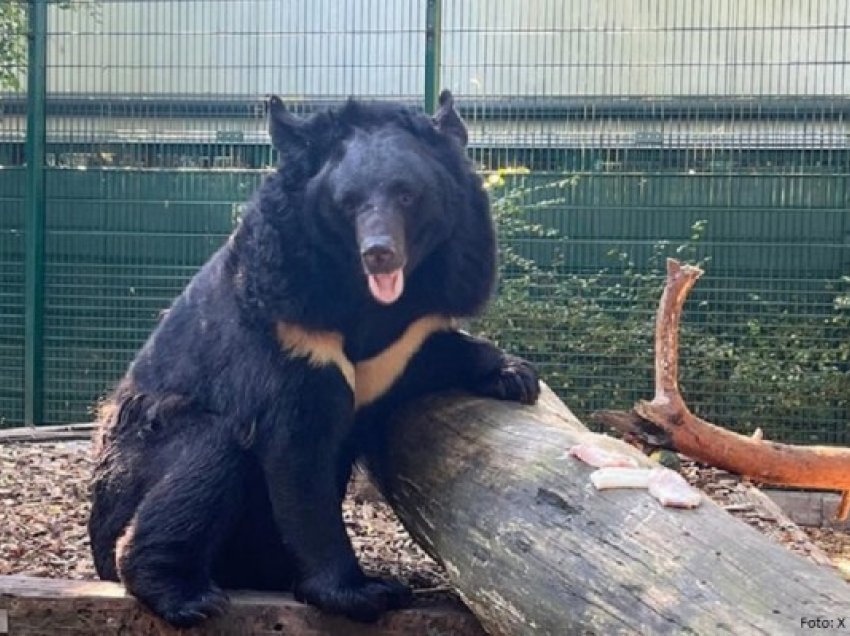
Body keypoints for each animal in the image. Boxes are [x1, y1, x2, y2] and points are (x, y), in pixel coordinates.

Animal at [86, 89, 536, 628]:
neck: (365, 298)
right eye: (348, 203)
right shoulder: (289, 328)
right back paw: (186, 596)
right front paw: (362, 592)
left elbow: (430, 351)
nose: (380, 253)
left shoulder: (409, 331)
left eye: (407, 195)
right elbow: (299, 451)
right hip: (135, 459)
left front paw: (514, 375)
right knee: (206, 455)